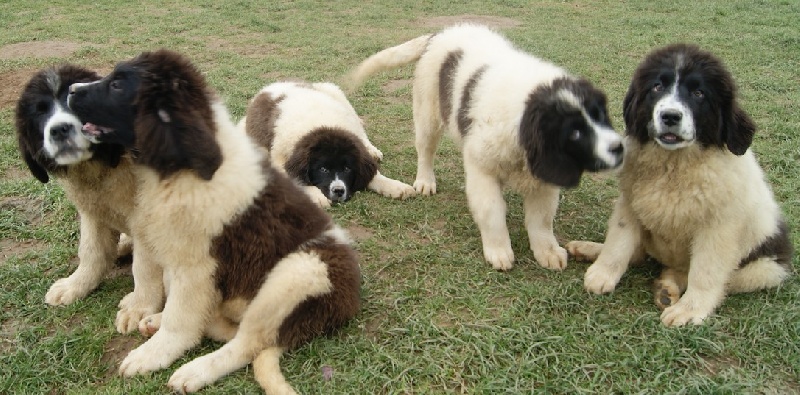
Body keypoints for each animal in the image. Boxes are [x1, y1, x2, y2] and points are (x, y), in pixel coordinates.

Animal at [350, 24, 624, 272]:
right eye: (575, 133)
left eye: (601, 116)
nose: (619, 147)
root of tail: (442, 32)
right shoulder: (482, 168)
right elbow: (492, 211)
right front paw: (499, 250)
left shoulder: (544, 175)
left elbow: (542, 219)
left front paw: (547, 250)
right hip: (428, 110)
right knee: (425, 149)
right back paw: (425, 180)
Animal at [568, 44, 792, 328]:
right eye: (657, 87)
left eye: (699, 93)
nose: (670, 116)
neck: (674, 166)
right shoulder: (631, 204)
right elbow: (618, 242)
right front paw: (602, 273)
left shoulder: (718, 227)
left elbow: (705, 271)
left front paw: (690, 310)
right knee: (639, 253)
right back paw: (589, 249)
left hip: (764, 268)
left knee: (702, 274)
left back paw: (668, 287)